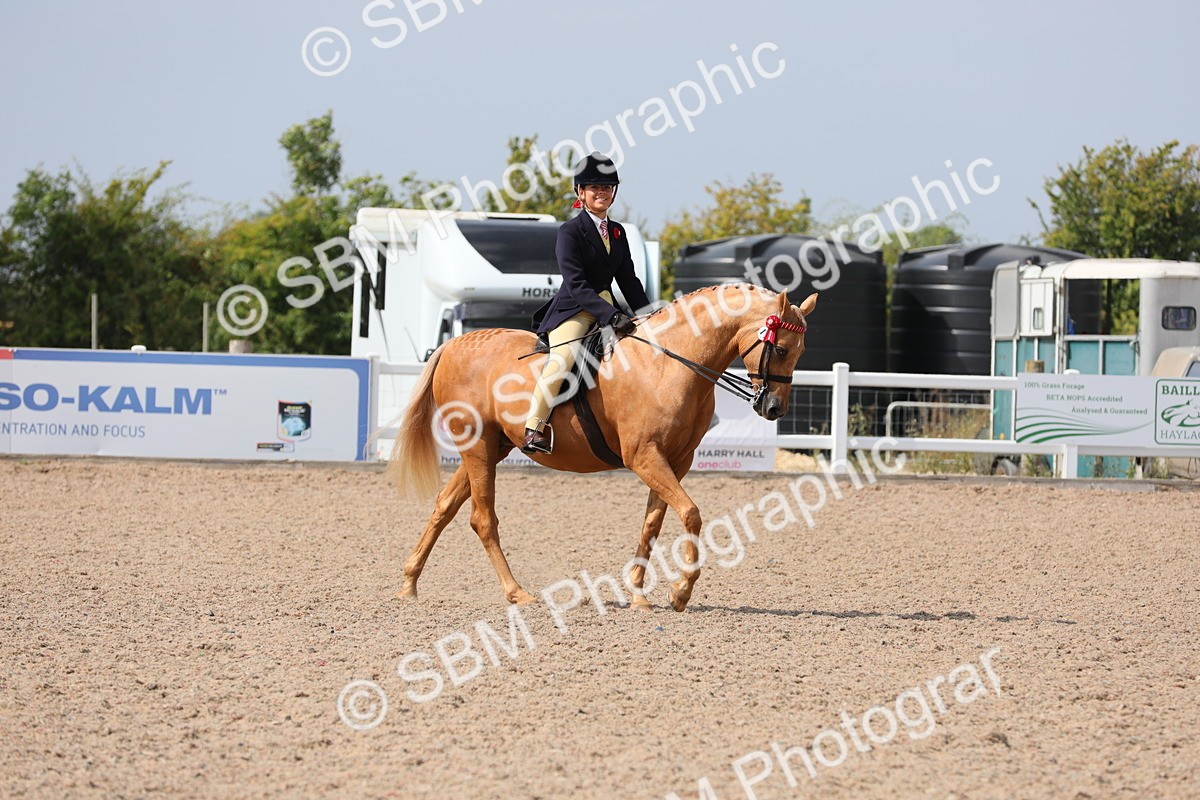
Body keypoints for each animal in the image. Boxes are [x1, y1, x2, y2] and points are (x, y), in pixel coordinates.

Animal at [389, 283, 818, 611]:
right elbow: (692, 514)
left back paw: (409, 584)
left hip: (491, 448)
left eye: (800, 352)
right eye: (780, 349)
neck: (667, 363)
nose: (773, 408)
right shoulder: (644, 456)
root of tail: (454, 345)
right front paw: (680, 593)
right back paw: (517, 593)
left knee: (444, 507)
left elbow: (653, 523)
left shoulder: (675, 461)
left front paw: (640, 595)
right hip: (477, 446)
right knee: (482, 519)